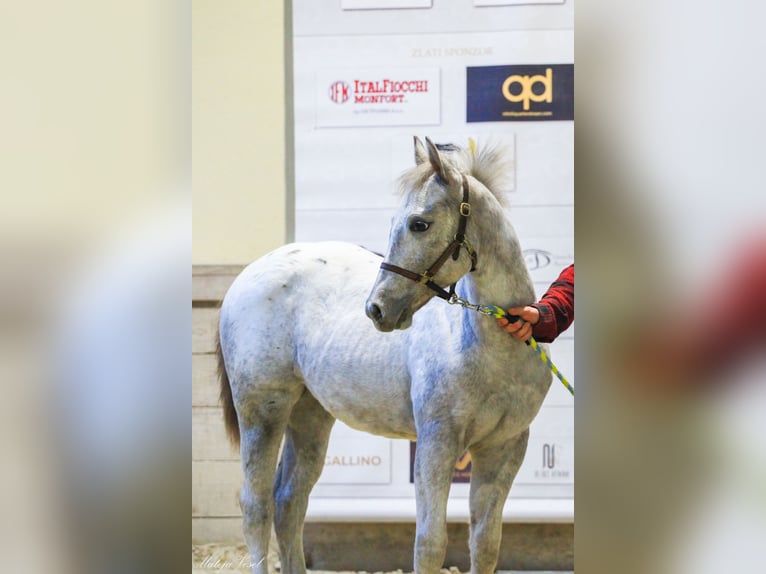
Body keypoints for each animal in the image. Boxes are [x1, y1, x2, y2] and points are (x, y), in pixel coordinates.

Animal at [219, 138, 556, 574]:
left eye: (419, 224)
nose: (377, 309)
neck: (489, 351)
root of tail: (246, 276)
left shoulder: (504, 448)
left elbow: (486, 543)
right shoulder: (436, 442)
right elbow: (430, 543)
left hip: (310, 414)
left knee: (288, 501)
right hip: (262, 411)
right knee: (255, 506)